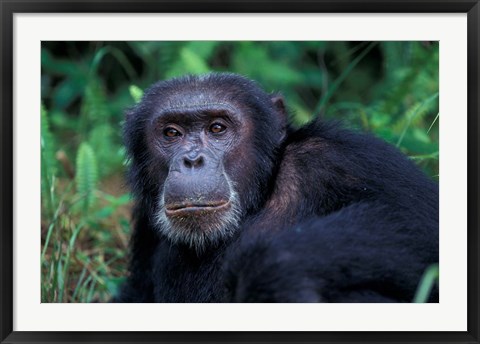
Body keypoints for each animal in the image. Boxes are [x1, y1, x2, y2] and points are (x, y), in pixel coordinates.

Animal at [115, 72, 438, 300]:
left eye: (217, 128)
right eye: (171, 133)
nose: (192, 159)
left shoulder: (346, 157)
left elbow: (419, 222)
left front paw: (267, 268)